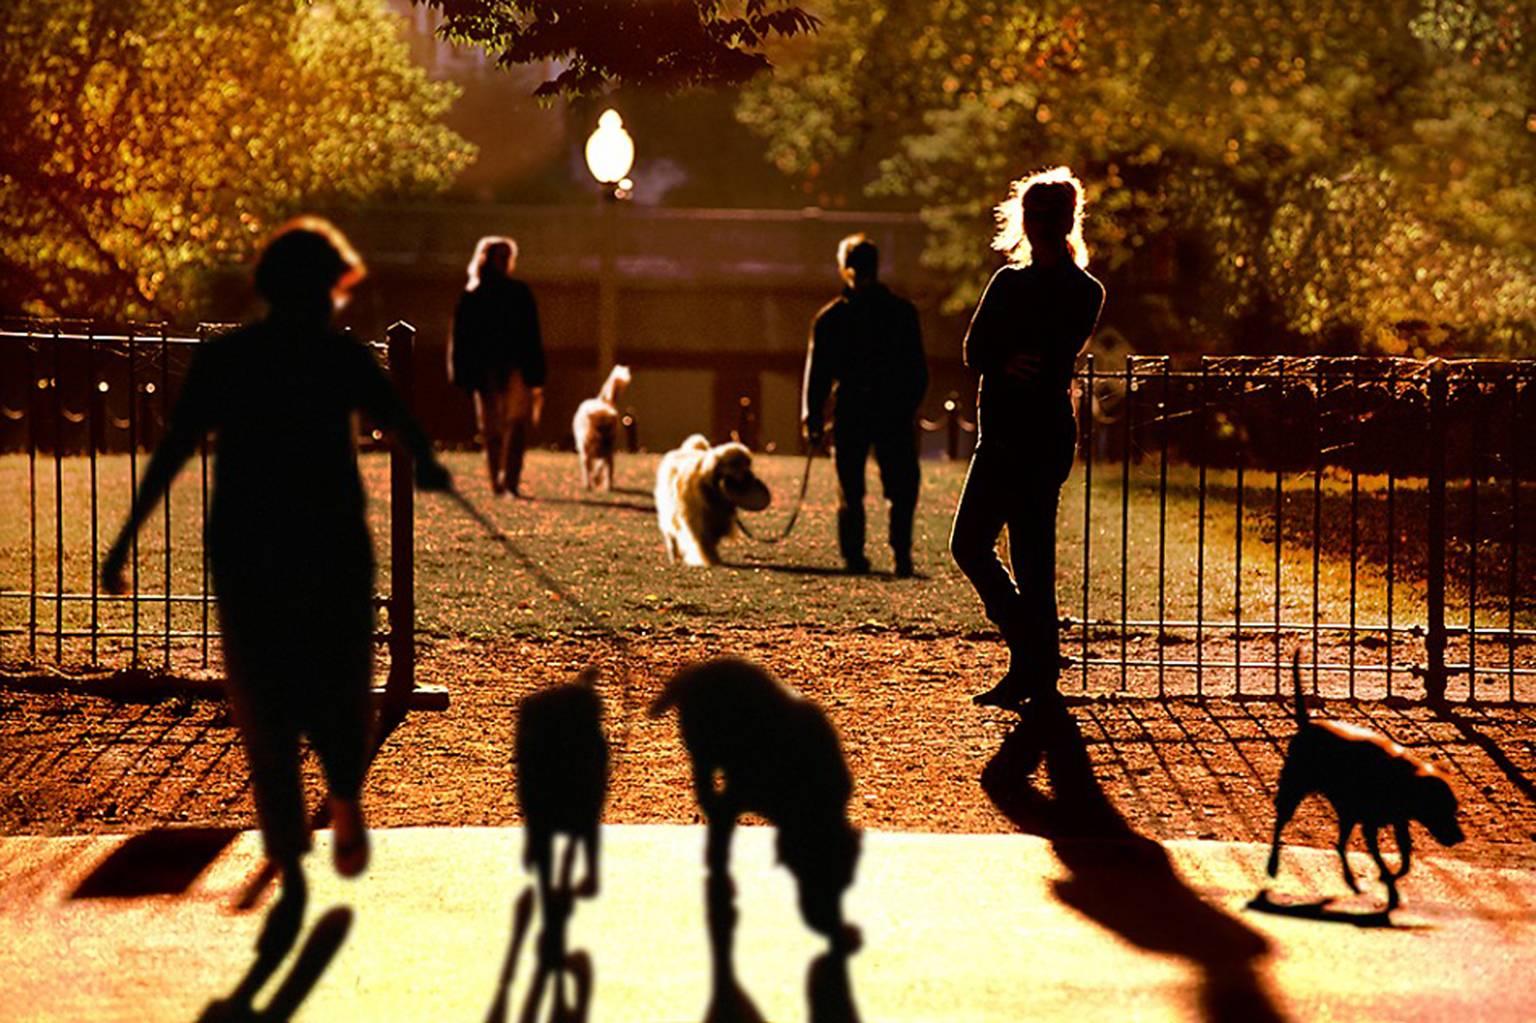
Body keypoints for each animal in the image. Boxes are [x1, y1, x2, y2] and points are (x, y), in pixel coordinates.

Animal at [571, 362, 629, 491]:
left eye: (609, 429)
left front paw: (600, 484)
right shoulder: (587, 453)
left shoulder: (606, 454)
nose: (606, 440)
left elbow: (602, 470)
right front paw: (588, 485)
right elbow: (588, 470)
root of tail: (602, 402)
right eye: (600, 428)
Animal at [651, 657, 866, 946]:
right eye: (811, 872)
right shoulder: (735, 798)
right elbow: (720, 842)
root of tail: (702, 668)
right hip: (702, 748)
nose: (833, 928)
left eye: (846, 882)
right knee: (704, 782)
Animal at [657, 433, 774, 565]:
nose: (752, 476)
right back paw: (674, 553)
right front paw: (710, 558)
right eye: (741, 467)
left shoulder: (718, 518)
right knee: (671, 533)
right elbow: (703, 539)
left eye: (749, 466)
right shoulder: (698, 519)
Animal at [1265, 654, 1468, 909]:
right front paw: (1388, 882)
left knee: (1340, 844)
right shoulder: (1370, 826)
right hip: (1294, 790)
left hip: (1345, 813)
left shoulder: (1397, 821)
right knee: (1282, 822)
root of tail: (1307, 726)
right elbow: (1381, 857)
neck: (1404, 780)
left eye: (1454, 809)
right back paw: (1273, 865)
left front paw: (1393, 876)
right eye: (1441, 809)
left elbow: (1405, 853)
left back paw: (1350, 880)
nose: (1460, 838)